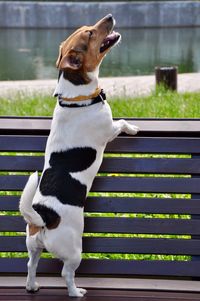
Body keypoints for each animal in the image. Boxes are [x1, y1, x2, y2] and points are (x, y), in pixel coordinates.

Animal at [19, 14, 139, 296]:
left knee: (30, 265)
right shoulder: (109, 129)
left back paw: (32, 286)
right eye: (90, 33)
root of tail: (44, 217)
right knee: (66, 273)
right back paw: (76, 292)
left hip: (34, 246)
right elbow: (122, 122)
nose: (110, 16)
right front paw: (133, 128)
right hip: (74, 251)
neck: (75, 97)